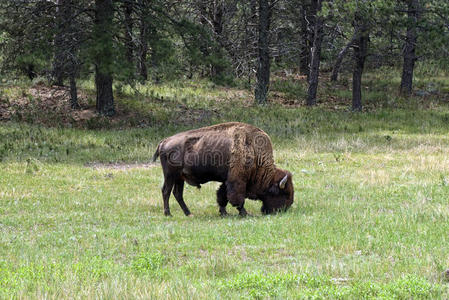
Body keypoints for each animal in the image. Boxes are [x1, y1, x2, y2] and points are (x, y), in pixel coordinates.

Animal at [152, 122, 294, 216]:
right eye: (284, 194)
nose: (287, 208)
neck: (253, 150)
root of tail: (164, 141)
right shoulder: (236, 181)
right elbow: (236, 198)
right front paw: (244, 213)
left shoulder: (227, 180)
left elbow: (222, 196)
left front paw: (223, 212)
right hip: (170, 176)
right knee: (166, 191)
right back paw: (168, 213)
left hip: (179, 178)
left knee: (177, 193)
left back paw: (188, 213)